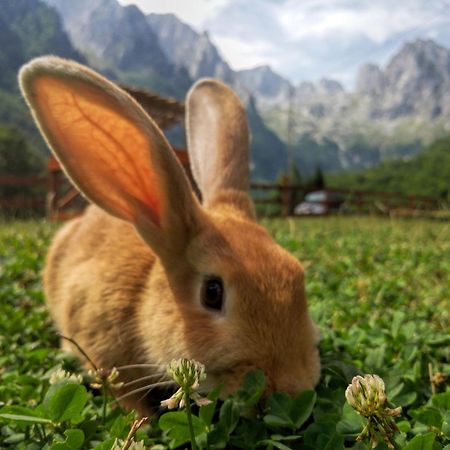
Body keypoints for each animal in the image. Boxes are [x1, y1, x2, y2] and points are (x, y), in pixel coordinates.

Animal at [18, 56, 320, 414]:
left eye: (296, 272)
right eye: (212, 292)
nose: (293, 386)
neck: (144, 295)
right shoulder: (101, 352)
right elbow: (122, 394)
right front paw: (145, 420)